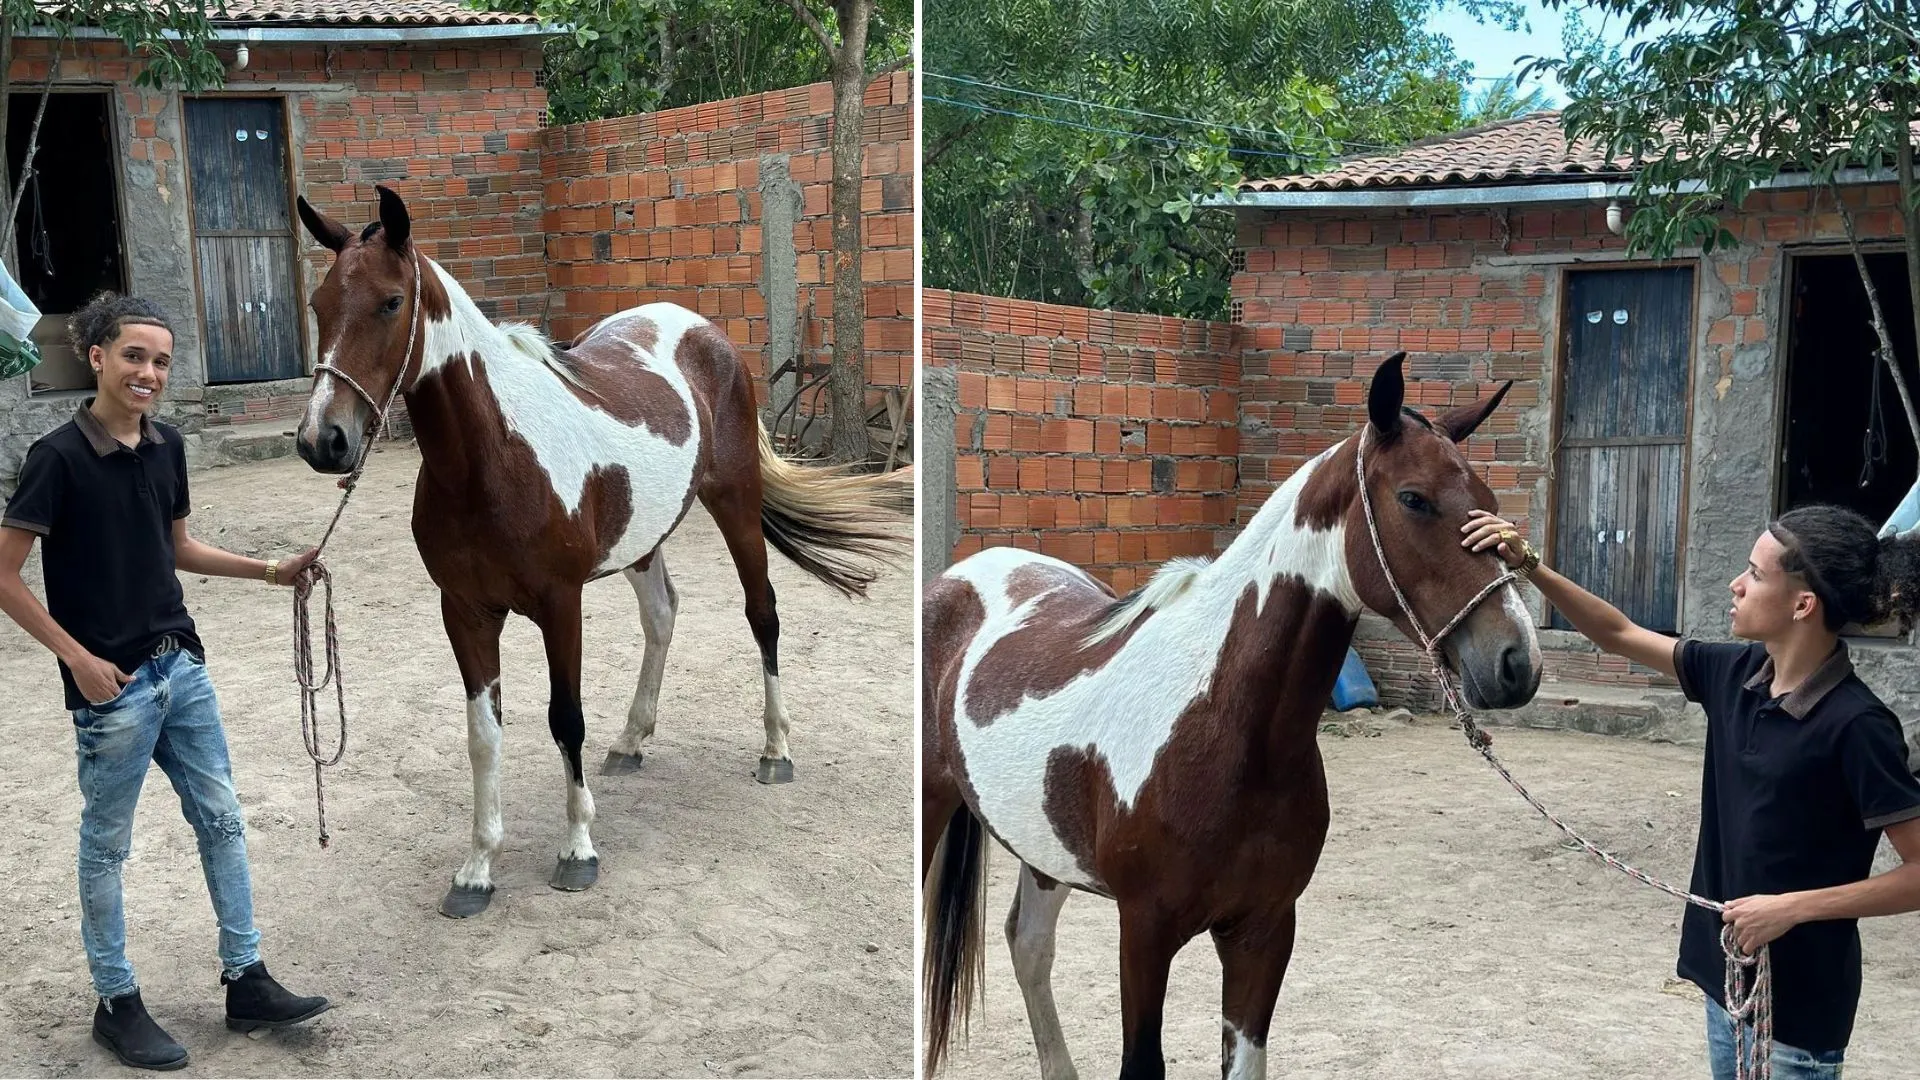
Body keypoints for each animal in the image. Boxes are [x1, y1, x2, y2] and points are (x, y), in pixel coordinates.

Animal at [293, 187, 906, 914]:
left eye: (390, 302)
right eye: (320, 304)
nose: (322, 440)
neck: (493, 456)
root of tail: (703, 332)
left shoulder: (561, 604)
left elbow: (565, 719)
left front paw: (578, 849)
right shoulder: (464, 611)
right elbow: (483, 735)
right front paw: (477, 868)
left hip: (735, 504)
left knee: (763, 614)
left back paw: (776, 750)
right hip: (642, 540)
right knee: (663, 616)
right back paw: (632, 740)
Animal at [921, 355, 1536, 1076]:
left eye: (1489, 500)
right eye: (1414, 498)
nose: (1517, 662)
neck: (1225, 726)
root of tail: (962, 576)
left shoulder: (1264, 929)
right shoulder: (1144, 930)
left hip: (1044, 845)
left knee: (1028, 944)